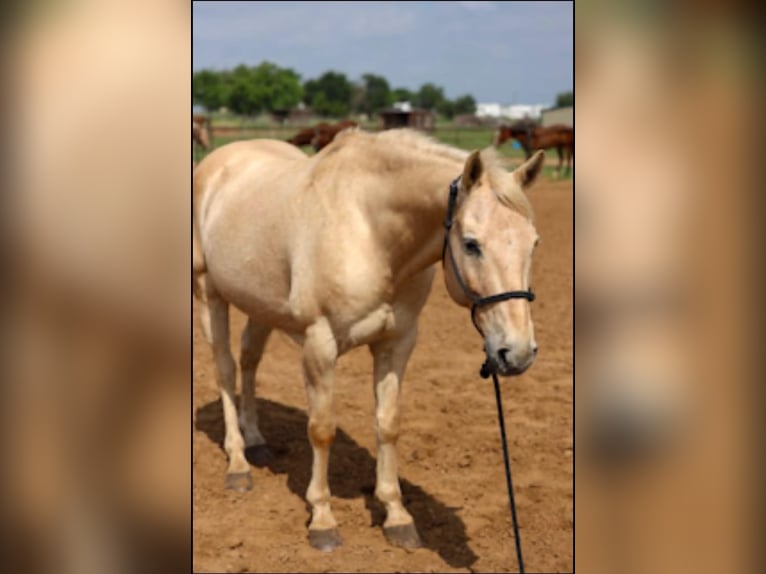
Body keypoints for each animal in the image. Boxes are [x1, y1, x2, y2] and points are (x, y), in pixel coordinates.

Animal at [192, 128, 544, 551]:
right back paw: (238, 463)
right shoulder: (320, 345)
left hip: (260, 306)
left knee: (249, 359)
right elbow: (322, 429)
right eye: (472, 243)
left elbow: (388, 424)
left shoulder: (397, 343)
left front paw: (396, 515)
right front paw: (323, 519)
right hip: (210, 294)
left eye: (534, 242)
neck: (369, 232)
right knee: (226, 370)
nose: (518, 353)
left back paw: (257, 440)